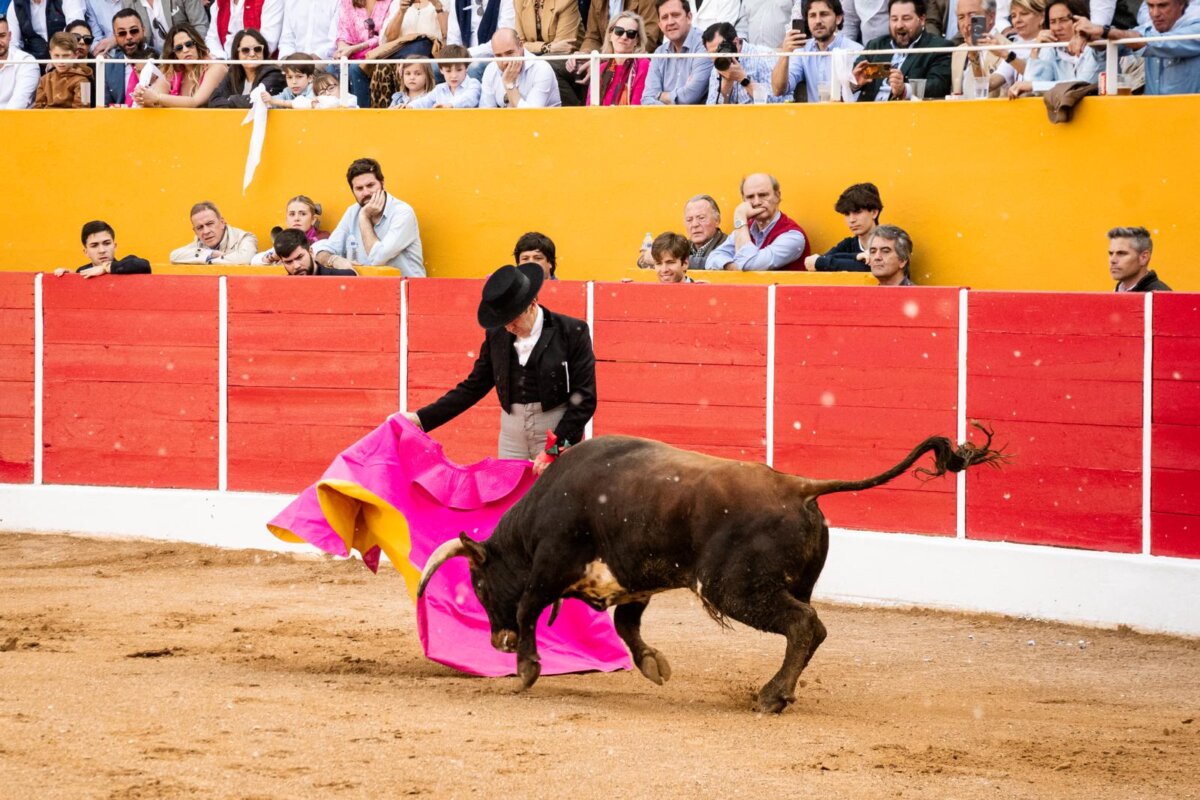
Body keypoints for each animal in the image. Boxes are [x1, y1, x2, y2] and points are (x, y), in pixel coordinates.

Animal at [418, 426, 1005, 713]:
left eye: (478, 585)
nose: (495, 643)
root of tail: (799, 485)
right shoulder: (634, 578)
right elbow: (626, 626)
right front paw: (654, 665)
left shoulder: (550, 566)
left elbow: (528, 607)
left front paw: (525, 671)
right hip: (786, 583)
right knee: (809, 627)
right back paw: (781, 692)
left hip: (734, 588)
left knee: (804, 625)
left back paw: (770, 697)